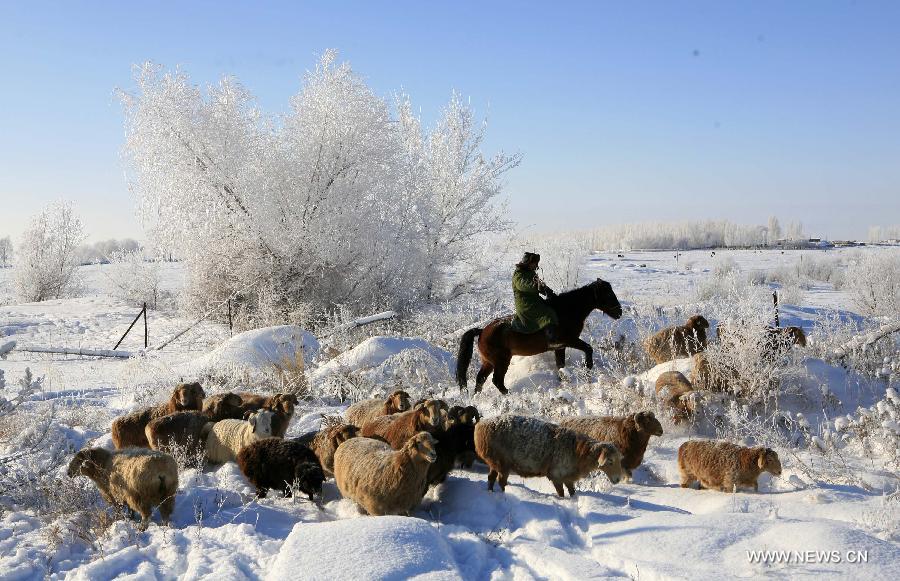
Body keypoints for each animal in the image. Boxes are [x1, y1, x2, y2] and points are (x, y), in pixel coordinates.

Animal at [454, 278, 624, 394]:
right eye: (608, 294)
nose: (619, 312)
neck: (566, 311)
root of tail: (482, 331)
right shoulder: (568, 340)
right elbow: (588, 349)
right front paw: (588, 368)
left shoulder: (560, 347)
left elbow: (560, 366)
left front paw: (564, 383)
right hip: (501, 361)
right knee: (497, 381)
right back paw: (510, 396)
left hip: (488, 362)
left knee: (480, 379)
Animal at [472, 412, 620, 498]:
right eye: (610, 461)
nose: (618, 480)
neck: (579, 453)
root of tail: (480, 426)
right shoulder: (556, 475)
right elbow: (561, 493)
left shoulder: (567, 477)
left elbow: (572, 492)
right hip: (502, 462)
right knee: (501, 481)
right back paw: (504, 494)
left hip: (494, 461)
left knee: (491, 478)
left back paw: (490, 493)